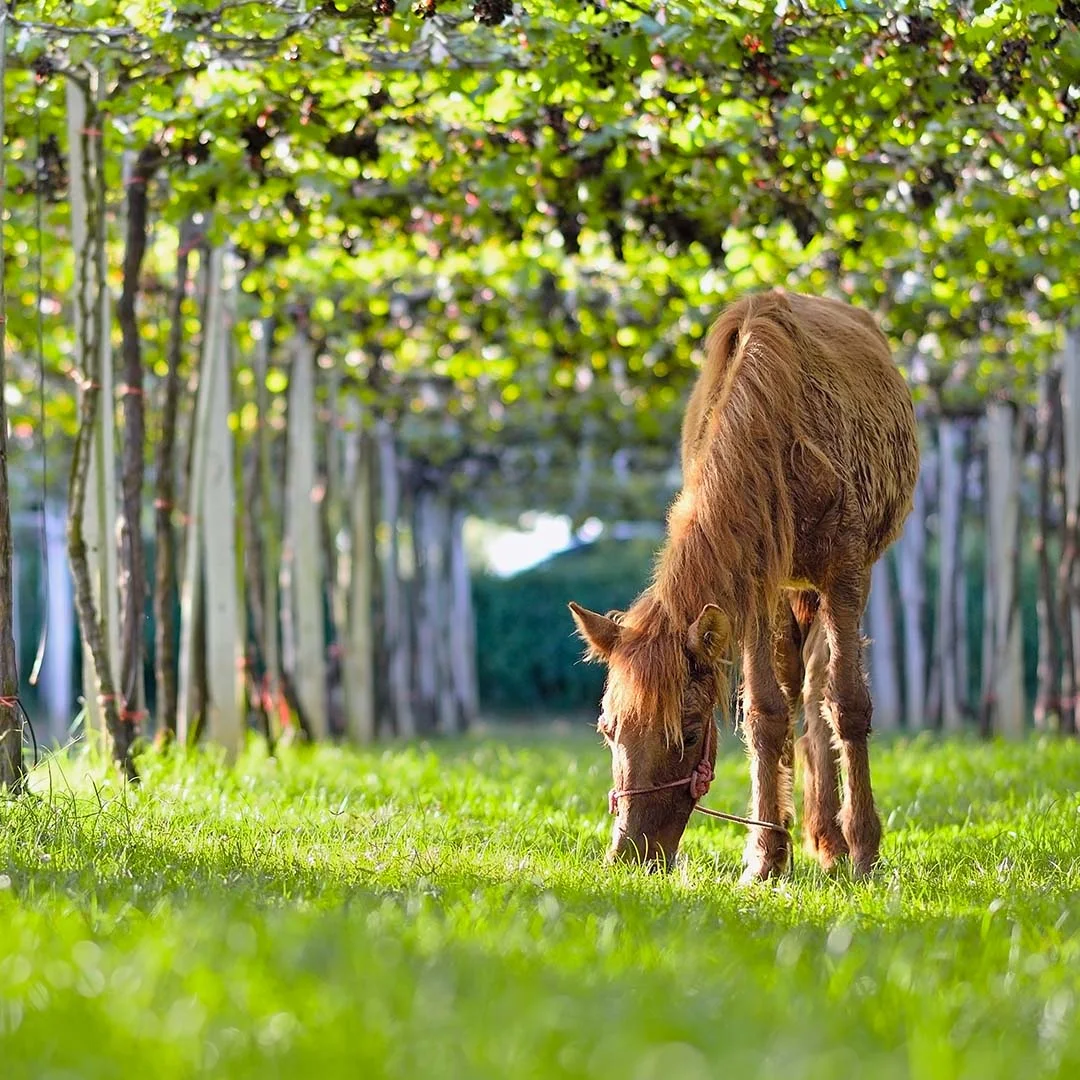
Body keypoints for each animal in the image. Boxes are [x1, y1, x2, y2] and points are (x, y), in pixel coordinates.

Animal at [570, 291, 915, 881]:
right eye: (607, 729)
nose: (633, 854)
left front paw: (865, 849)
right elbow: (765, 713)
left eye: (688, 731)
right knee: (799, 688)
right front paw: (767, 855)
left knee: (819, 687)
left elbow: (848, 703)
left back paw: (835, 840)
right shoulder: (754, 586)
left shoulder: (847, 572)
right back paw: (812, 833)